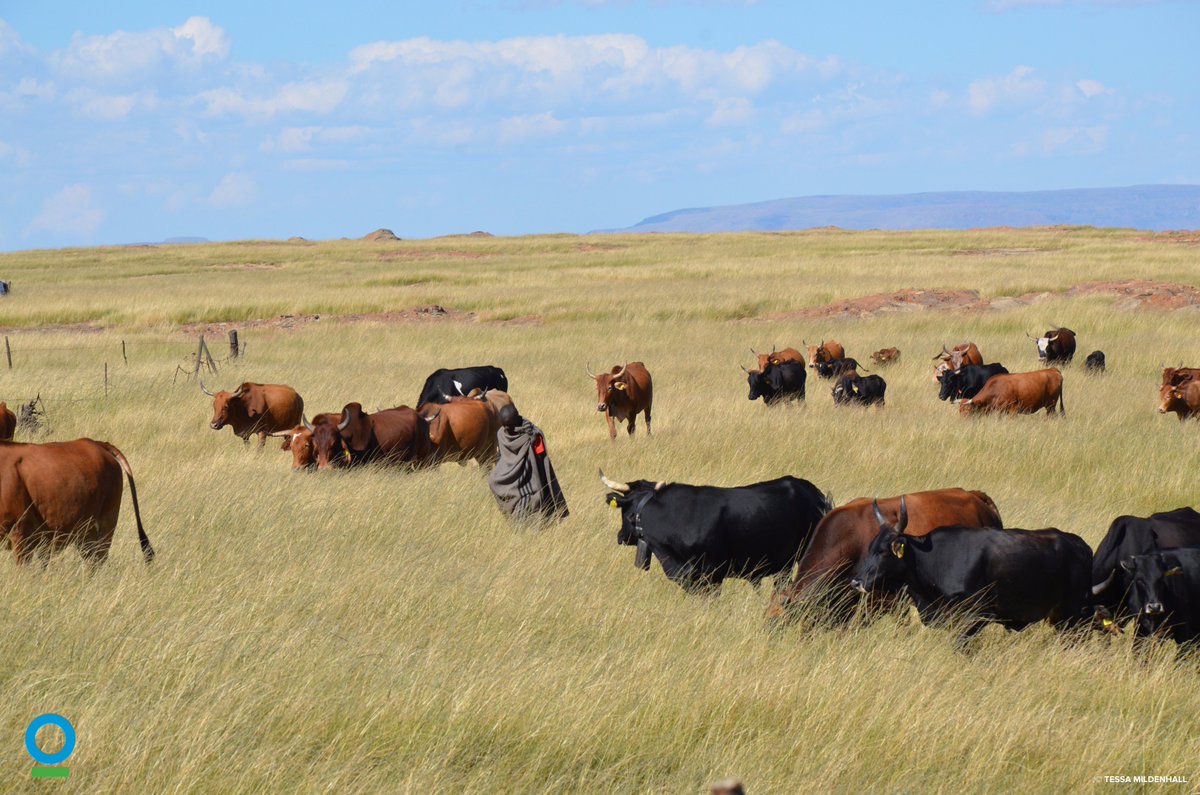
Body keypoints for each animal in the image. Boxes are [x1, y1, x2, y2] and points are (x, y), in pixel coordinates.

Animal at [849, 500, 1093, 646]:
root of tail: (1078, 543)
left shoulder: (976, 616)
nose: (856, 582)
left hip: (1072, 613)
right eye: (870, 548)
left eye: (883, 551)